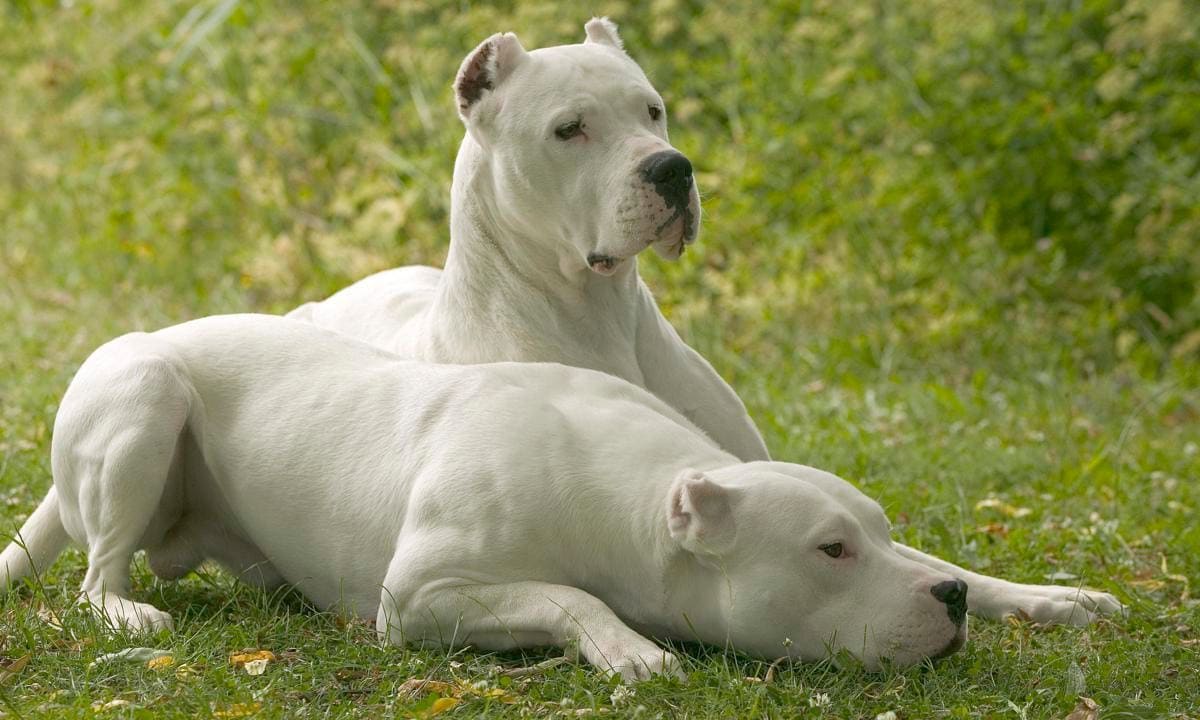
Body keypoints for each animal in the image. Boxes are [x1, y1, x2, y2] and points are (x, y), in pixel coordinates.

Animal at [0, 316, 1123, 681]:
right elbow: (568, 595)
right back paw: (126, 608)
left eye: (878, 536)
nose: (947, 608)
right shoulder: (426, 596)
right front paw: (631, 650)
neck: (636, 497)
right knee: (97, 573)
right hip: (143, 397)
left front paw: (1042, 595)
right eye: (829, 552)